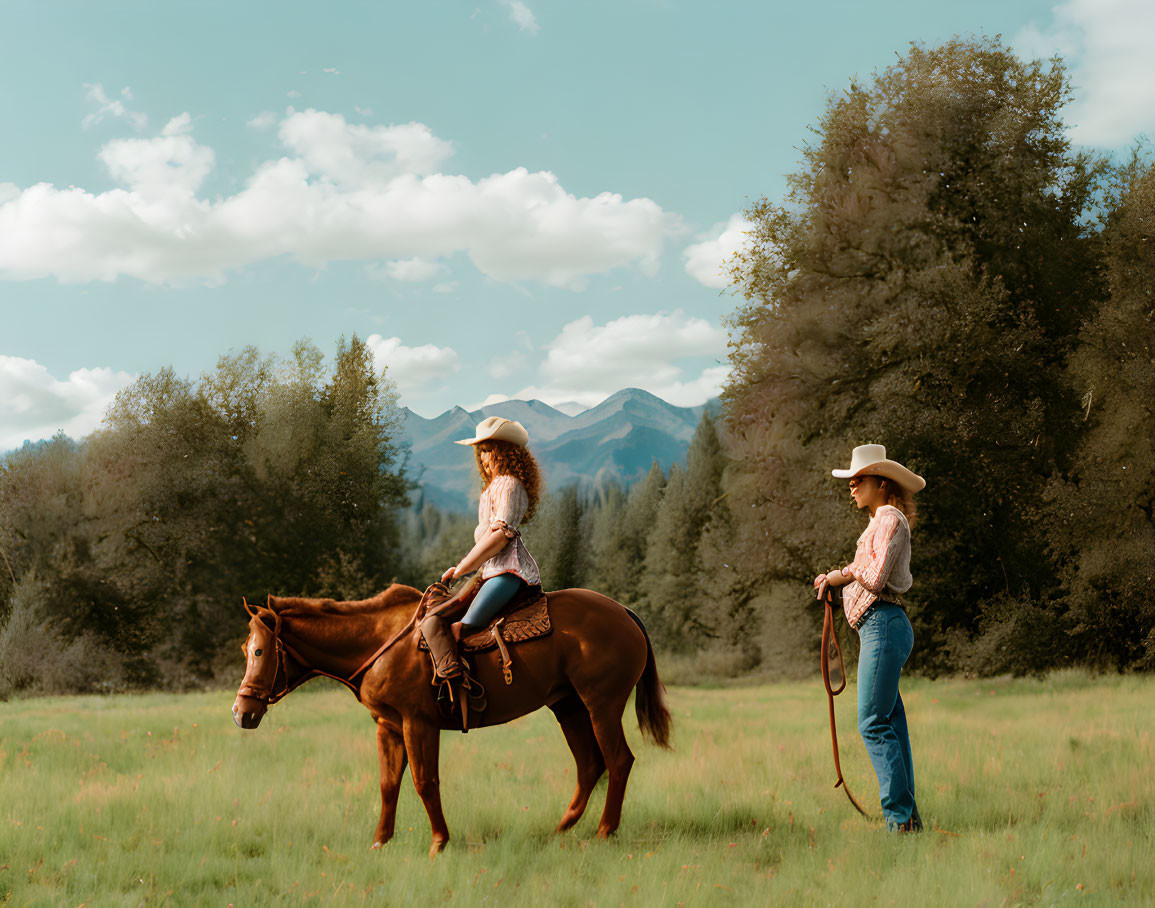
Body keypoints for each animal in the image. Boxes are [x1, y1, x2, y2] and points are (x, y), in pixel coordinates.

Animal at [231, 584, 674, 854]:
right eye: (244, 649)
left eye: (259, 651)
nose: (241, 713)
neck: (379, 642)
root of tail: (624, 612)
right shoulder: (388, 726)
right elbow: (388, 785)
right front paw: (380, 843)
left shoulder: (418, 723)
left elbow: (425, 782)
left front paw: (439, 842)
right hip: (568, 707)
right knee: (589, 765)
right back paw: (560, 830)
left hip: (601, 704)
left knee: (617, 760)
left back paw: (603, 832)